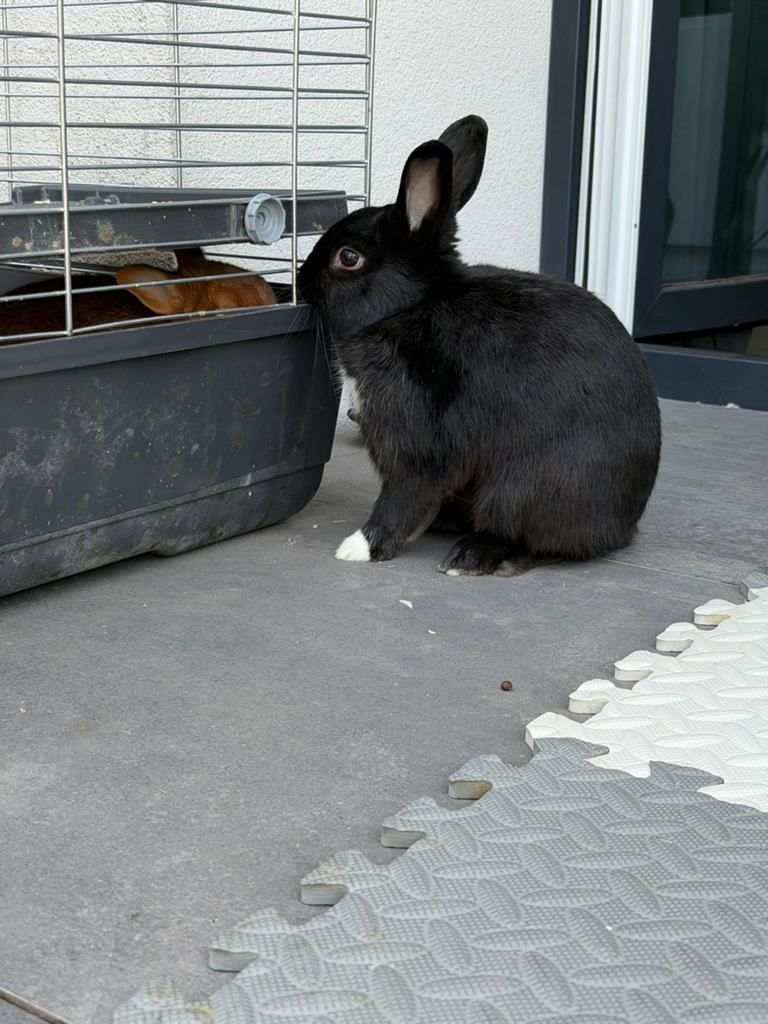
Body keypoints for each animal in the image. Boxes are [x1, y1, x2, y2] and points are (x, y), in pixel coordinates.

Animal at [298, 114, 661, 576]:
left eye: (348, 257)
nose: (300, 280)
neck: (411, 307)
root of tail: (624, 525)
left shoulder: (414, 440)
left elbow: (403, 497)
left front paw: (360, 547)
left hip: (522, 486)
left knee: (531, 539)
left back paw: (471, 556)